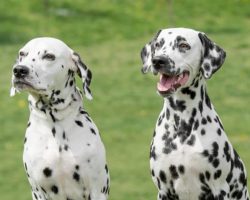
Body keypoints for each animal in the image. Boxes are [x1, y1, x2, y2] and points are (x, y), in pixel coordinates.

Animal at [10, 37, 109, 200]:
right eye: (22, 54)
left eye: (49, 56)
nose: (19, 70)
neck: (55, 124)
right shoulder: (38, 192)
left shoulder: (97, 190)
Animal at [141, 28, 248, 200]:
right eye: (157, 44)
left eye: (183, 45)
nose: (158, 60)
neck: (183, 122)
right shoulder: (163, 189)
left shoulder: (219, 188)